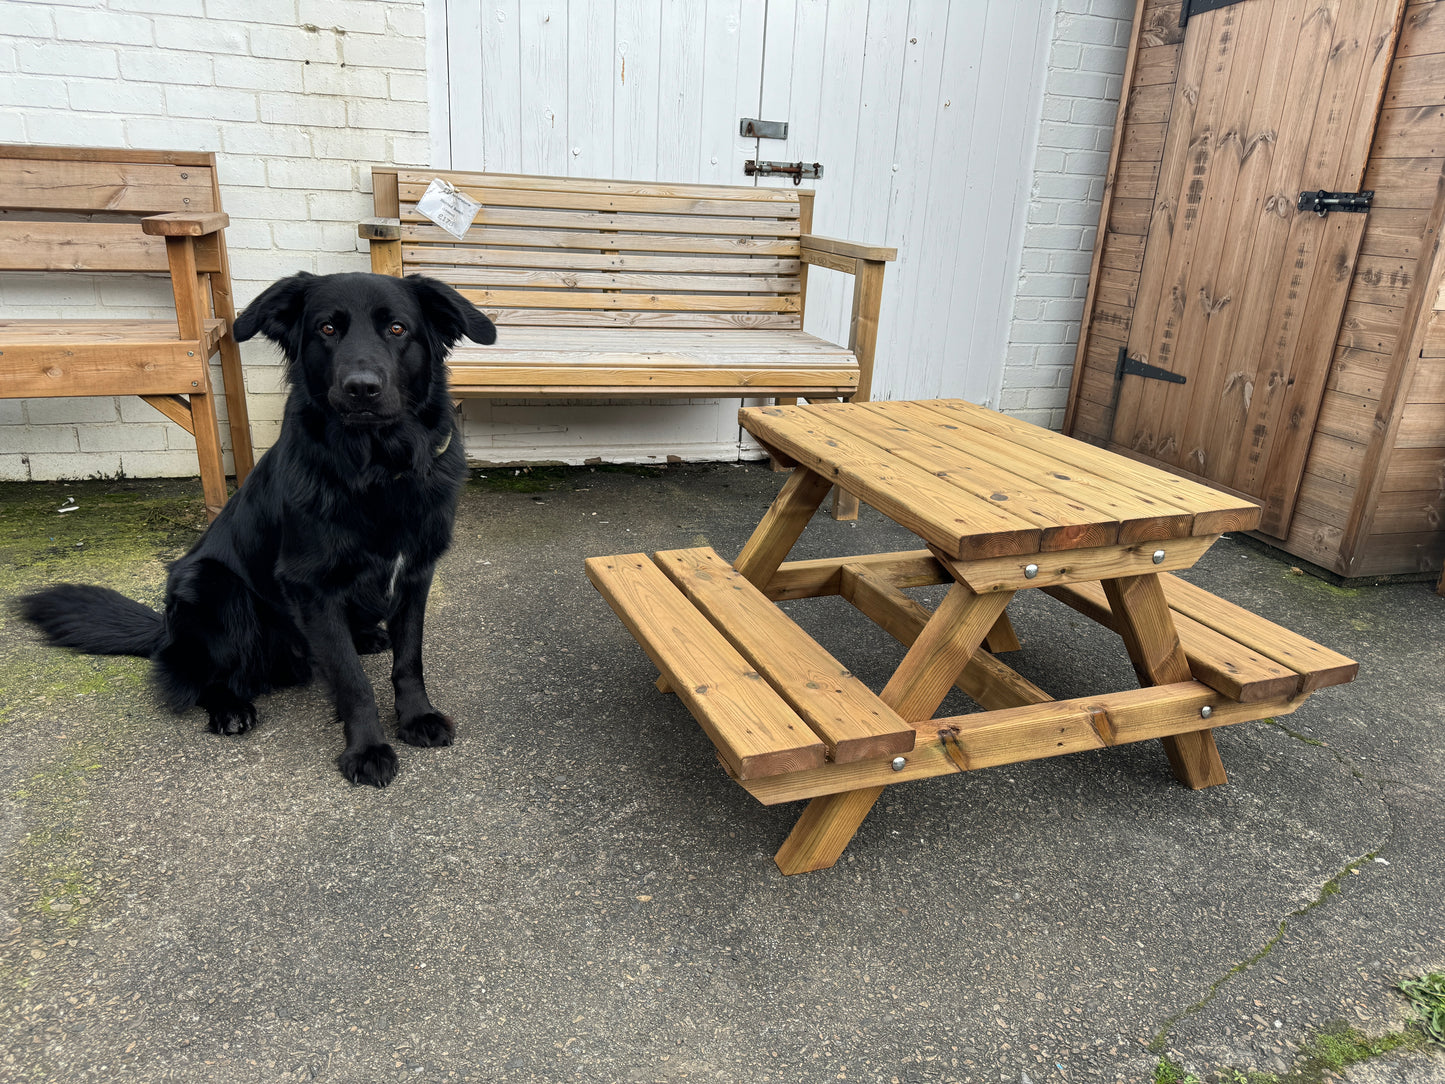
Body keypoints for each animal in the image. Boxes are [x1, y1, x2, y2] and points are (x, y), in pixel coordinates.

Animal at [18, 267, 497, 786]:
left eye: (397, 329)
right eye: (327, 329)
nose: (361, 388)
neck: (375, 469)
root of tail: (164, 633)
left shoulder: (414, 575)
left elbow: (409, 658)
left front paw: (416, 717)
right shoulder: (312, 588)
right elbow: (352, 680)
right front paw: (367, 748)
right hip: (212, 587)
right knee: (198, 677)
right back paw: (229, 707)